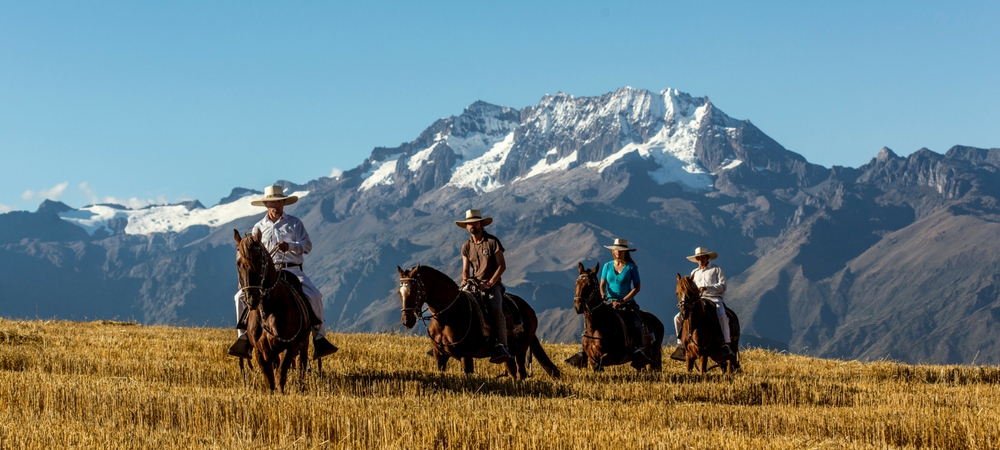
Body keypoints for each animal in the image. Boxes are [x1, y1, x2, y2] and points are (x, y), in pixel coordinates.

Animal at [235, 230, 310, 392]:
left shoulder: (287, 348)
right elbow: (270, 381)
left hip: (303, 345)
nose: (251, 299)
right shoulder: (260, 352)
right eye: (238, 263)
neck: (268, 310)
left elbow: (280, 377)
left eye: (259, 258)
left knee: (301, 364)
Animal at [398, 266, 564, 378]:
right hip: (510, 354)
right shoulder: (440, 356)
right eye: (400, 292)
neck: (447, 317)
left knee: (521, 373)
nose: (407, 320)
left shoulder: (466, 356)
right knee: (513, 373)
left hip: (521, 349)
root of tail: (528, 308)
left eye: (414, 290)